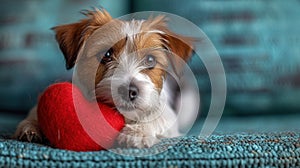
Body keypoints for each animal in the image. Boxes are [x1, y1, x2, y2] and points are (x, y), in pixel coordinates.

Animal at [13, 8, 199, 148]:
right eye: (107, 54)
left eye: (150, 60)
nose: (129, 91)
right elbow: (33, 113)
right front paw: (30, 126)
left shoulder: (167, 115)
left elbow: (158, 118)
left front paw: (137, 132)